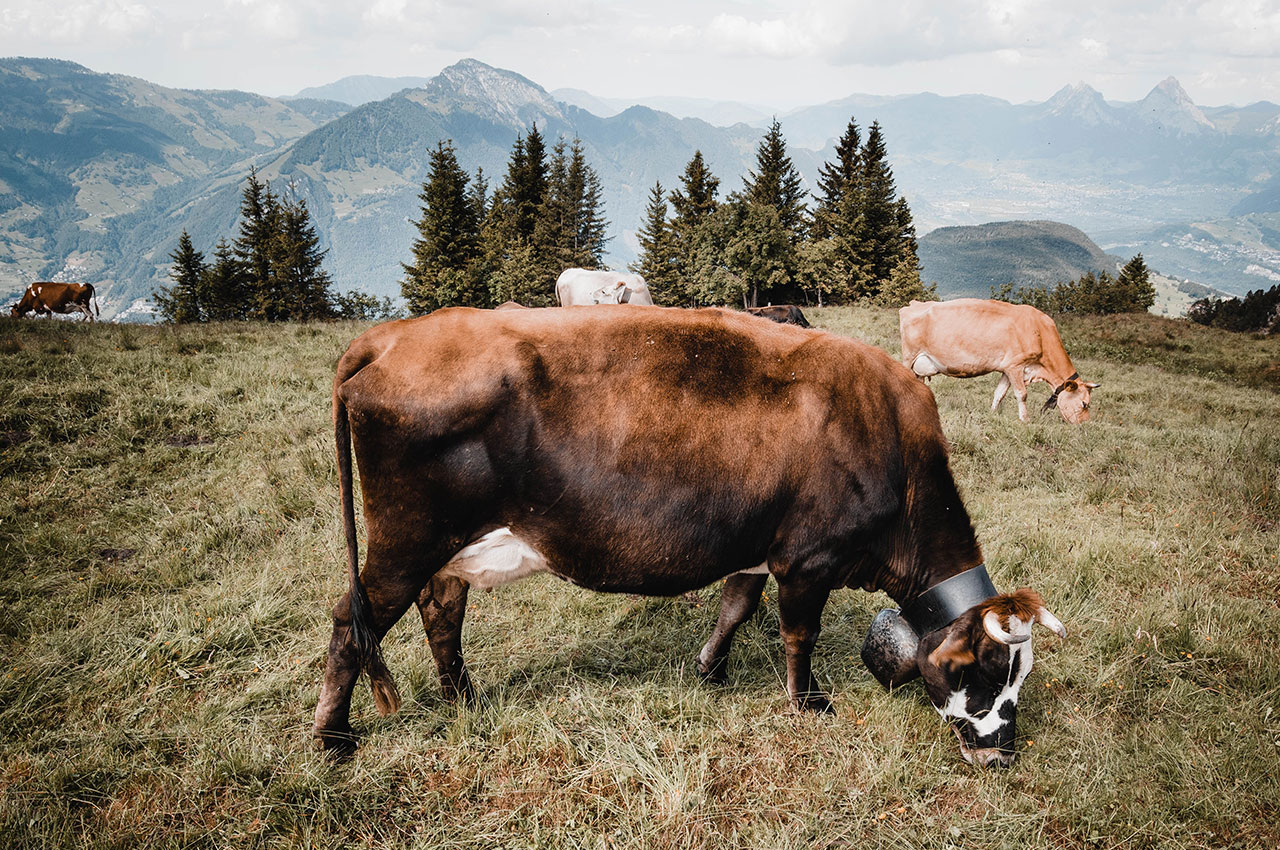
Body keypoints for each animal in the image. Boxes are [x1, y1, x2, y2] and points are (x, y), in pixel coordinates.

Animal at [314, 305, 1064, 762]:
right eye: (982, 669)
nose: (1000, 754)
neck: (889, 437)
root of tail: (399, 333)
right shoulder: (808, 559)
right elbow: (800, 633)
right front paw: (807, 701)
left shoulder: (759, 546)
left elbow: (735, 605)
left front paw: (711, 667)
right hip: (405, 542)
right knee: (352, 622)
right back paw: (332, 734)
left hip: (447, 546)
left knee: (441, 613)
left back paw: (463, 700)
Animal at [901, 298, 1100, 425]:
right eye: (1085, 404)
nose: (1085, 425)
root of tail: (915, 304)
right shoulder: (1016, 365)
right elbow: (1022, 394)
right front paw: (1025, 420)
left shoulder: (1007, 369)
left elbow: (1000, 393)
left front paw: (992, 413)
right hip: (909, 357)